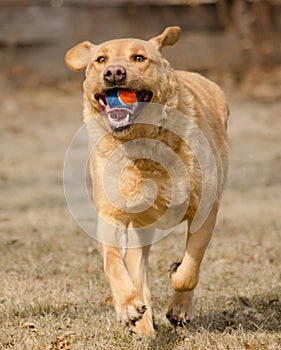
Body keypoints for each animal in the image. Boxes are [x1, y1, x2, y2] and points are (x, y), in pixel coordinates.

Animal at [65, 26, 228, 336]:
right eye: (101, 60)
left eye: (139, 58)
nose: (114, 73)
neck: (142, 144)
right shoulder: (111, 215)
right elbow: (114, 262)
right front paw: (128, 306)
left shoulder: (206, 210)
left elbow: (189, 269)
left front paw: (177, 290)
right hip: (140, 228)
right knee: (137, 271)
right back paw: (142, 322)